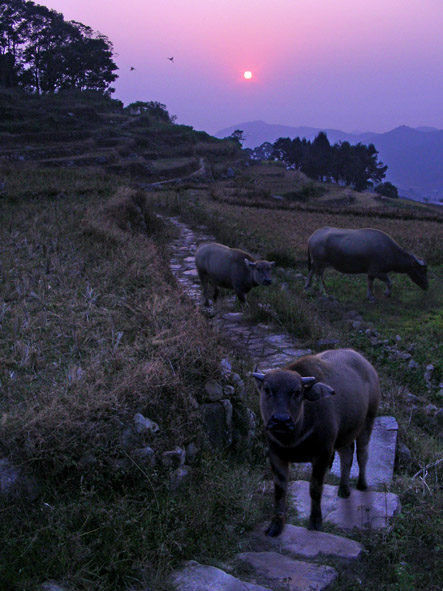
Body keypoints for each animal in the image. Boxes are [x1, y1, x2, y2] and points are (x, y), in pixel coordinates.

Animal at [253, 350, 382, 540]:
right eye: (267, 390)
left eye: (297, 392)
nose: (281, 420)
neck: (293, 439)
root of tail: (368, 365)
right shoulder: (276, 455)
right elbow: (279, 490)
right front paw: (276, 525)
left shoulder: (322, 454)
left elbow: (315, 489)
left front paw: (315, 522)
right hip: (344, 434)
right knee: (347, 455)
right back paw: (343, 489)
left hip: (368, 420)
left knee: (362, 455)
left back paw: (362, 485)